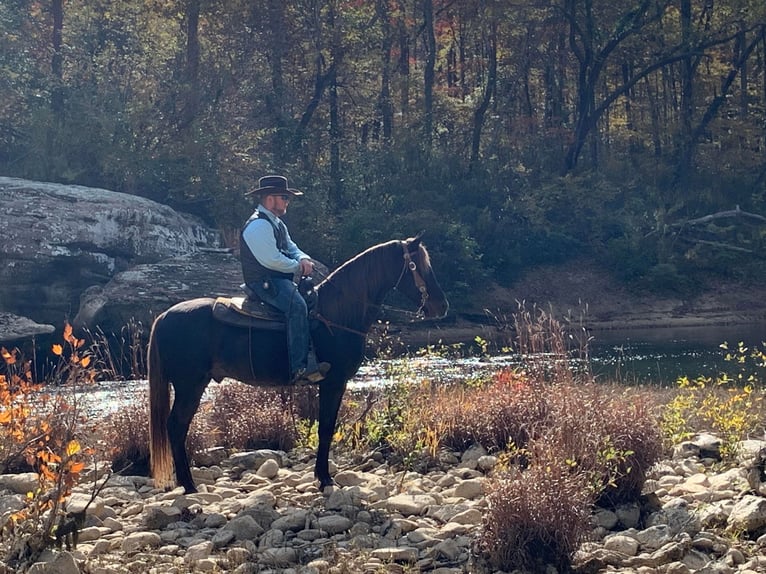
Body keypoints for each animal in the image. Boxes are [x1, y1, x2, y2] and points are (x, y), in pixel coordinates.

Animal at [148, 235, 450, 496]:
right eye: (418, 266)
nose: (442, 305)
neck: (336, 315)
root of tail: (164, 316)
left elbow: (325, 427)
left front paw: (322, 476)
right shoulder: (334, 382)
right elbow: (326, 427)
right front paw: (325, 478)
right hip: (190, 385)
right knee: (176, 426)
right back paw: (189, 486)